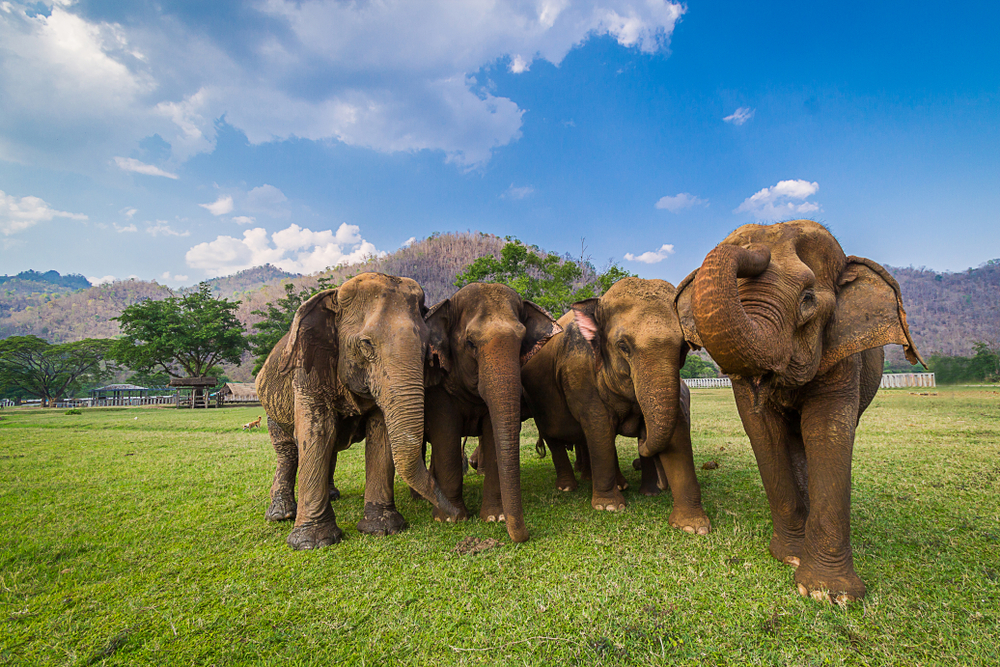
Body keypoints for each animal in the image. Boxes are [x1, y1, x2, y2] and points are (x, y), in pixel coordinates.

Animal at [255, 272, 460, 550]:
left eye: (426, 347)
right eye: (366, 344)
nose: (458, 516)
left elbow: (380, 433)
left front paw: (382, 529)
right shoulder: (308, 368)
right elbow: (316, 431)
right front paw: (313, 542)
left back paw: (332, 495)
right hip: (271, 408)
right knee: (287, 451)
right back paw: (281, 515)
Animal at [422, 282, 561, 543]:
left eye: (522, 342)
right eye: (470, 343)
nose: (525, 535)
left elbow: (493, 434)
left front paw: (495, 518)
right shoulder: (439, 387)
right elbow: (446, 434)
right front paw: (450, 519)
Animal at [519, 277, 710, 534]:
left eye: (683, 347)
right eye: (623, 346)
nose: (641, 446)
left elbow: (677, 431)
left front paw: (693, 526)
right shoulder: (580, 372)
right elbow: (598, 426)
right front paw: (609, 507)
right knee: (556, 437)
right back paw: (569, 487)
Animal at [674, 219, 924, 601]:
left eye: (808, 299)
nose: (755, 244)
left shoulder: (841, 353)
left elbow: (827, 431)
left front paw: (829, 593)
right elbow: (763, 430)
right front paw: (790, 557)